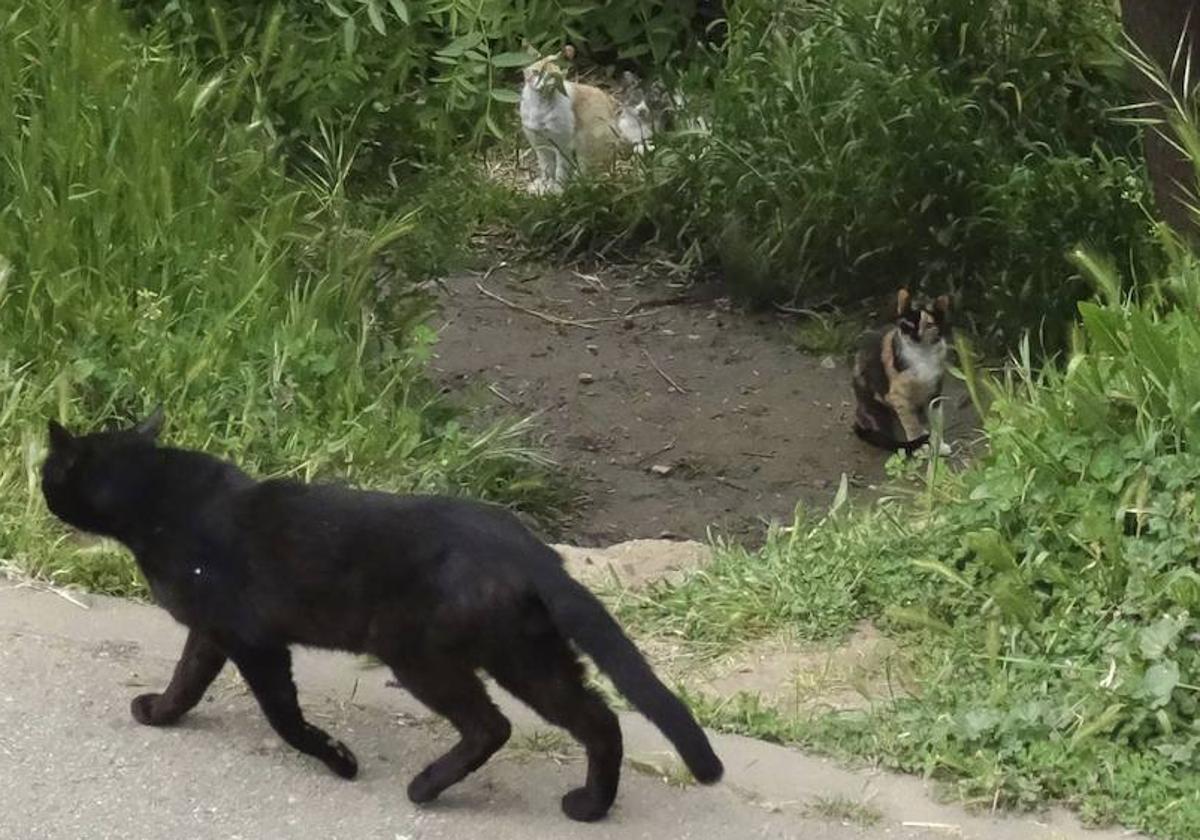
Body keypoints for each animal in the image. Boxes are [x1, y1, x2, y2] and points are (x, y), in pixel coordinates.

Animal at [42, 410, 720, 825]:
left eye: (50, 472)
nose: (38, 478)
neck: (158, 499)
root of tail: (527, 547)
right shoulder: (212, 632)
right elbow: (187, 680)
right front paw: (158, 713)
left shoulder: (252, 638)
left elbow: (284, 717)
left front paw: (339, 760)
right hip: (527, 655)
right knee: (598, 718)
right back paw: (589, 806)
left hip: (422, 654)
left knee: (492, 725)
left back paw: (425, 787)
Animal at [854, 291, 955, 456]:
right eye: (909, 324)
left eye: (929, 325)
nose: (916, 336)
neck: (923, 356)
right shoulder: (899, 397)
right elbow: (911, 423)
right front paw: (920, 447)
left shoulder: (935, 393)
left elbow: (937, 421)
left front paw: (939, 446)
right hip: (877, 409)